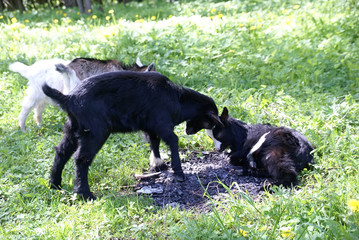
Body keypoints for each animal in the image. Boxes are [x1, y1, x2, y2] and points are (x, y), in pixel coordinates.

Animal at [9, 57, 153, 132]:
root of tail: (30, 69)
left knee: (39, 107)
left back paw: (39, 124)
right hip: (40, 91)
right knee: (27, 106)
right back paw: (23, 127)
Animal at [42, 70, 222, 200]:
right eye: (210, 122)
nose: (188, 131)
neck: (176, 98)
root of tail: (69, 98)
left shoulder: (150, 126)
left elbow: (154, 141)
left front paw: (157, 164)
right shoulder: (162, 122)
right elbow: (173, 140)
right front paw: (178, 173)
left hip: (73, 128)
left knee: (61, 152)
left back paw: (54, 184)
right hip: (95, 131)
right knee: (81, 159)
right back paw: (84, 194)